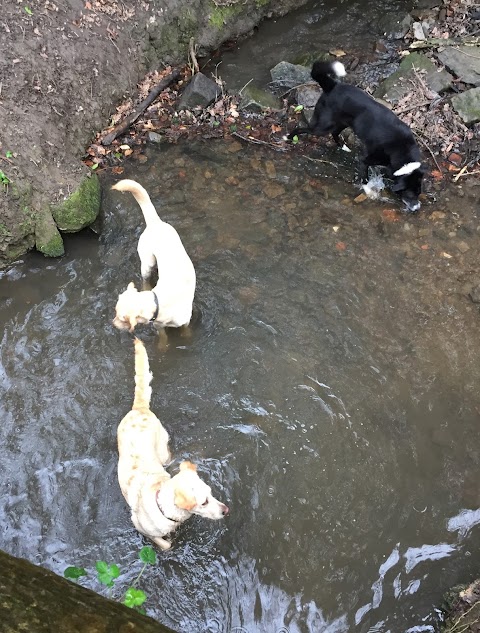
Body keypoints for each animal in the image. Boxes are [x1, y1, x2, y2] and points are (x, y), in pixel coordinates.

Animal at [111, 179, 196, 330]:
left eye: (121, 319)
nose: (112, 323)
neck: (158, 302)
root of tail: (155, 222)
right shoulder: (158, 326)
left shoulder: (186, 322)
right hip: (147, 263)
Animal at [117, 336, 228, 548]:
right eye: (204, 502)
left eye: (211, 492)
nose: (226, 510)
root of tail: (139, 409)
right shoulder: (140, 526)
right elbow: (165, 545)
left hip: (162, 451)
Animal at [288, 60, 424, 212]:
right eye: (410, 195)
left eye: (419, 193)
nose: (417, 208)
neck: (401, 150)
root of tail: (332, 86)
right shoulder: (365, 160)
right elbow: (364, 179)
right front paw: (369, 191)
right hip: (323, 126)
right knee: (301, 128)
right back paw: (288, 138)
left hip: (343, 122)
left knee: (335, 133)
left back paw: (344, 147)